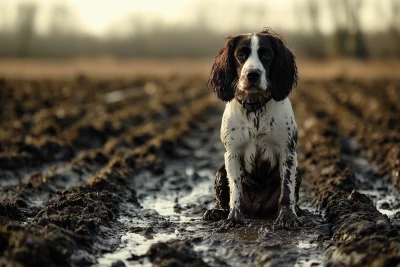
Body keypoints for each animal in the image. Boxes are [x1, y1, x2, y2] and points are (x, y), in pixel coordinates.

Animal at [203, 29, 300, 228]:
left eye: (266, 54)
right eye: (241, 55)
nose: (252, 74)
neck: (255, 107)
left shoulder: (287, 150)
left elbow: (287, 190)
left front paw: (287, 217)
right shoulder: (232, 153)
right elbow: (236, 189)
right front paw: (233, 218)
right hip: (220, 171)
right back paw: (216, 213)